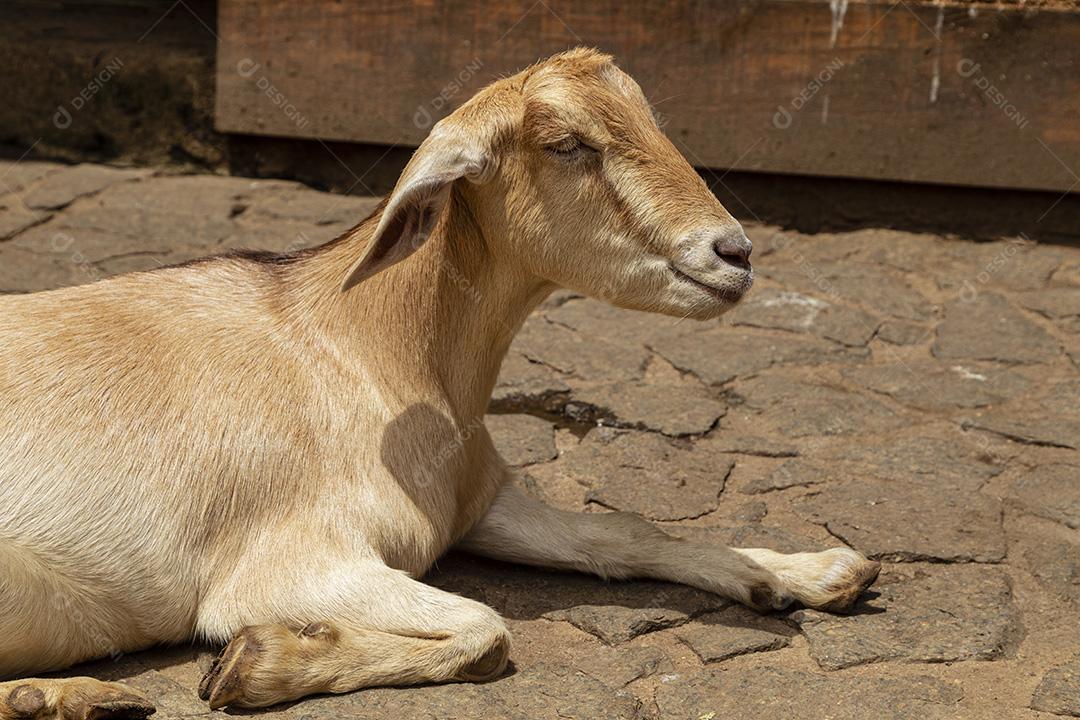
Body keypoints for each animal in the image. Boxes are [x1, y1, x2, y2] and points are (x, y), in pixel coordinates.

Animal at [0, 49, 880, 718]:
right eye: (567, 143)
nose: (734, 254)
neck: (368, 349)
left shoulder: (475, 504)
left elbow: (623, 533)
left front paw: (804, 575)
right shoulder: (284, 567)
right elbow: (488, 628)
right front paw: (257, 664)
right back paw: (66, 695)